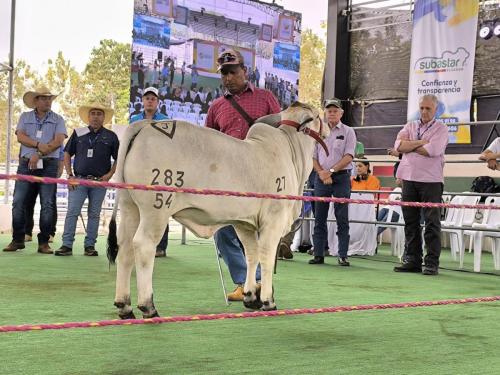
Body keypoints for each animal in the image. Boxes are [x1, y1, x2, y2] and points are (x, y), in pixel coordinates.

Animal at [106, 103, 328, 320]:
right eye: (318, 116)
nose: (327, 127)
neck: (292, 152)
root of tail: (145, 125)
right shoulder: (273, 220)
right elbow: (265, 256)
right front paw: (268, 301)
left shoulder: (244, 224)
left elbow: (251, 254)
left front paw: (250, 296)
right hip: (156, 209)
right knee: (143, 246)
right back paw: (148, 307)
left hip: (130, 207)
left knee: (125, 248)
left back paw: (124, 306)